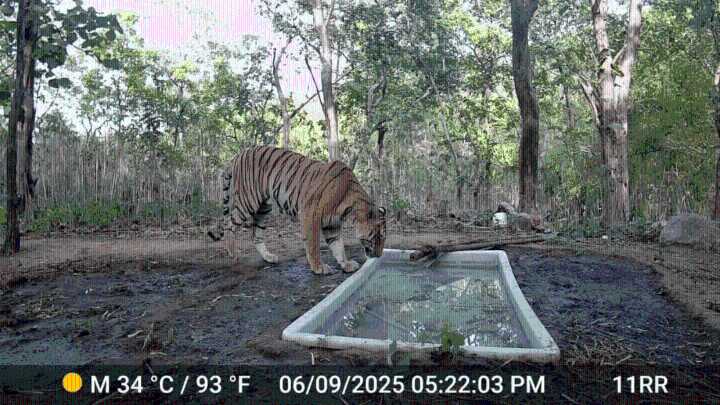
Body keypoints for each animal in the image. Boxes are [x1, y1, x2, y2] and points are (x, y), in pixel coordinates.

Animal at [208, 145, 387, 275]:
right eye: (376, 237)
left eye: (382, 238)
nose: (379, 256)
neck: (350, 208)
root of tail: (238, 154)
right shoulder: (310, 214)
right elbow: (313, 245)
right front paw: (319, 268)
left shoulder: (332, 224)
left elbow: (338, 246)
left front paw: (346, 264)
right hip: (248, 202)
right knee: (229, 224)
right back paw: (233, 253)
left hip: (264, 208)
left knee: (255, 234)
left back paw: (268, 257)